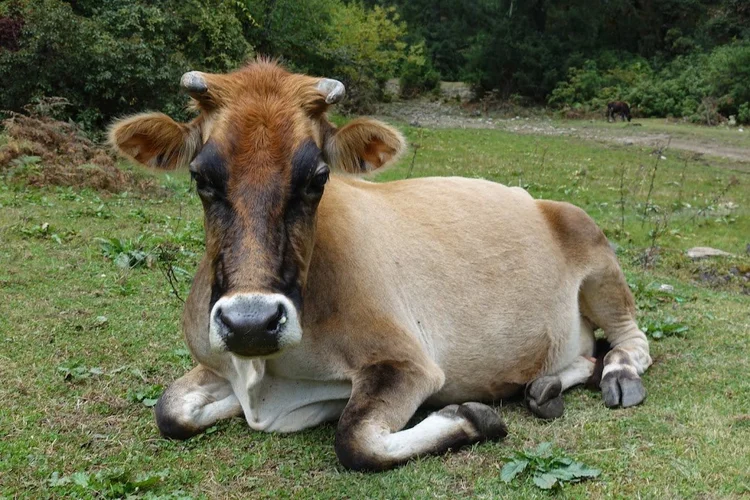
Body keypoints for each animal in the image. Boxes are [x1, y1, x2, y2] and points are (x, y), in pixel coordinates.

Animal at [109, 60, 652, 472]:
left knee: (631, 339)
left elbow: (356, 442)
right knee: (584, 355)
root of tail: (534, 199)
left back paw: (619, 377)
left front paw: (473, 417)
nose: (251, 322)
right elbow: (169, 411)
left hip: (594, 250)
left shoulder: (407, 364)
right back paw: (544, 387)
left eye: (319, 177)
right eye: (200, 176)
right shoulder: (215, 361)